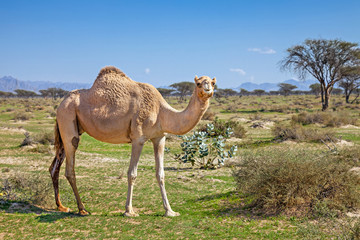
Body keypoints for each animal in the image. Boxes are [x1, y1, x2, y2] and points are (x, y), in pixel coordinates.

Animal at [48, 66, 215, 217]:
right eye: (198, 83)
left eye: (213, 83)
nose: (207, 90)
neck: (161, 111)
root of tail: (61, 104)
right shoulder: (138, 138)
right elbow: (132, 174)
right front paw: (129, 211)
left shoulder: (159, 138)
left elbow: (160, 174)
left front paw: (170, 211)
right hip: (67, 117)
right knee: (70, 169)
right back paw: (82, 209)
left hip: (69, 129)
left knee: (54, 166)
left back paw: (61, 206)